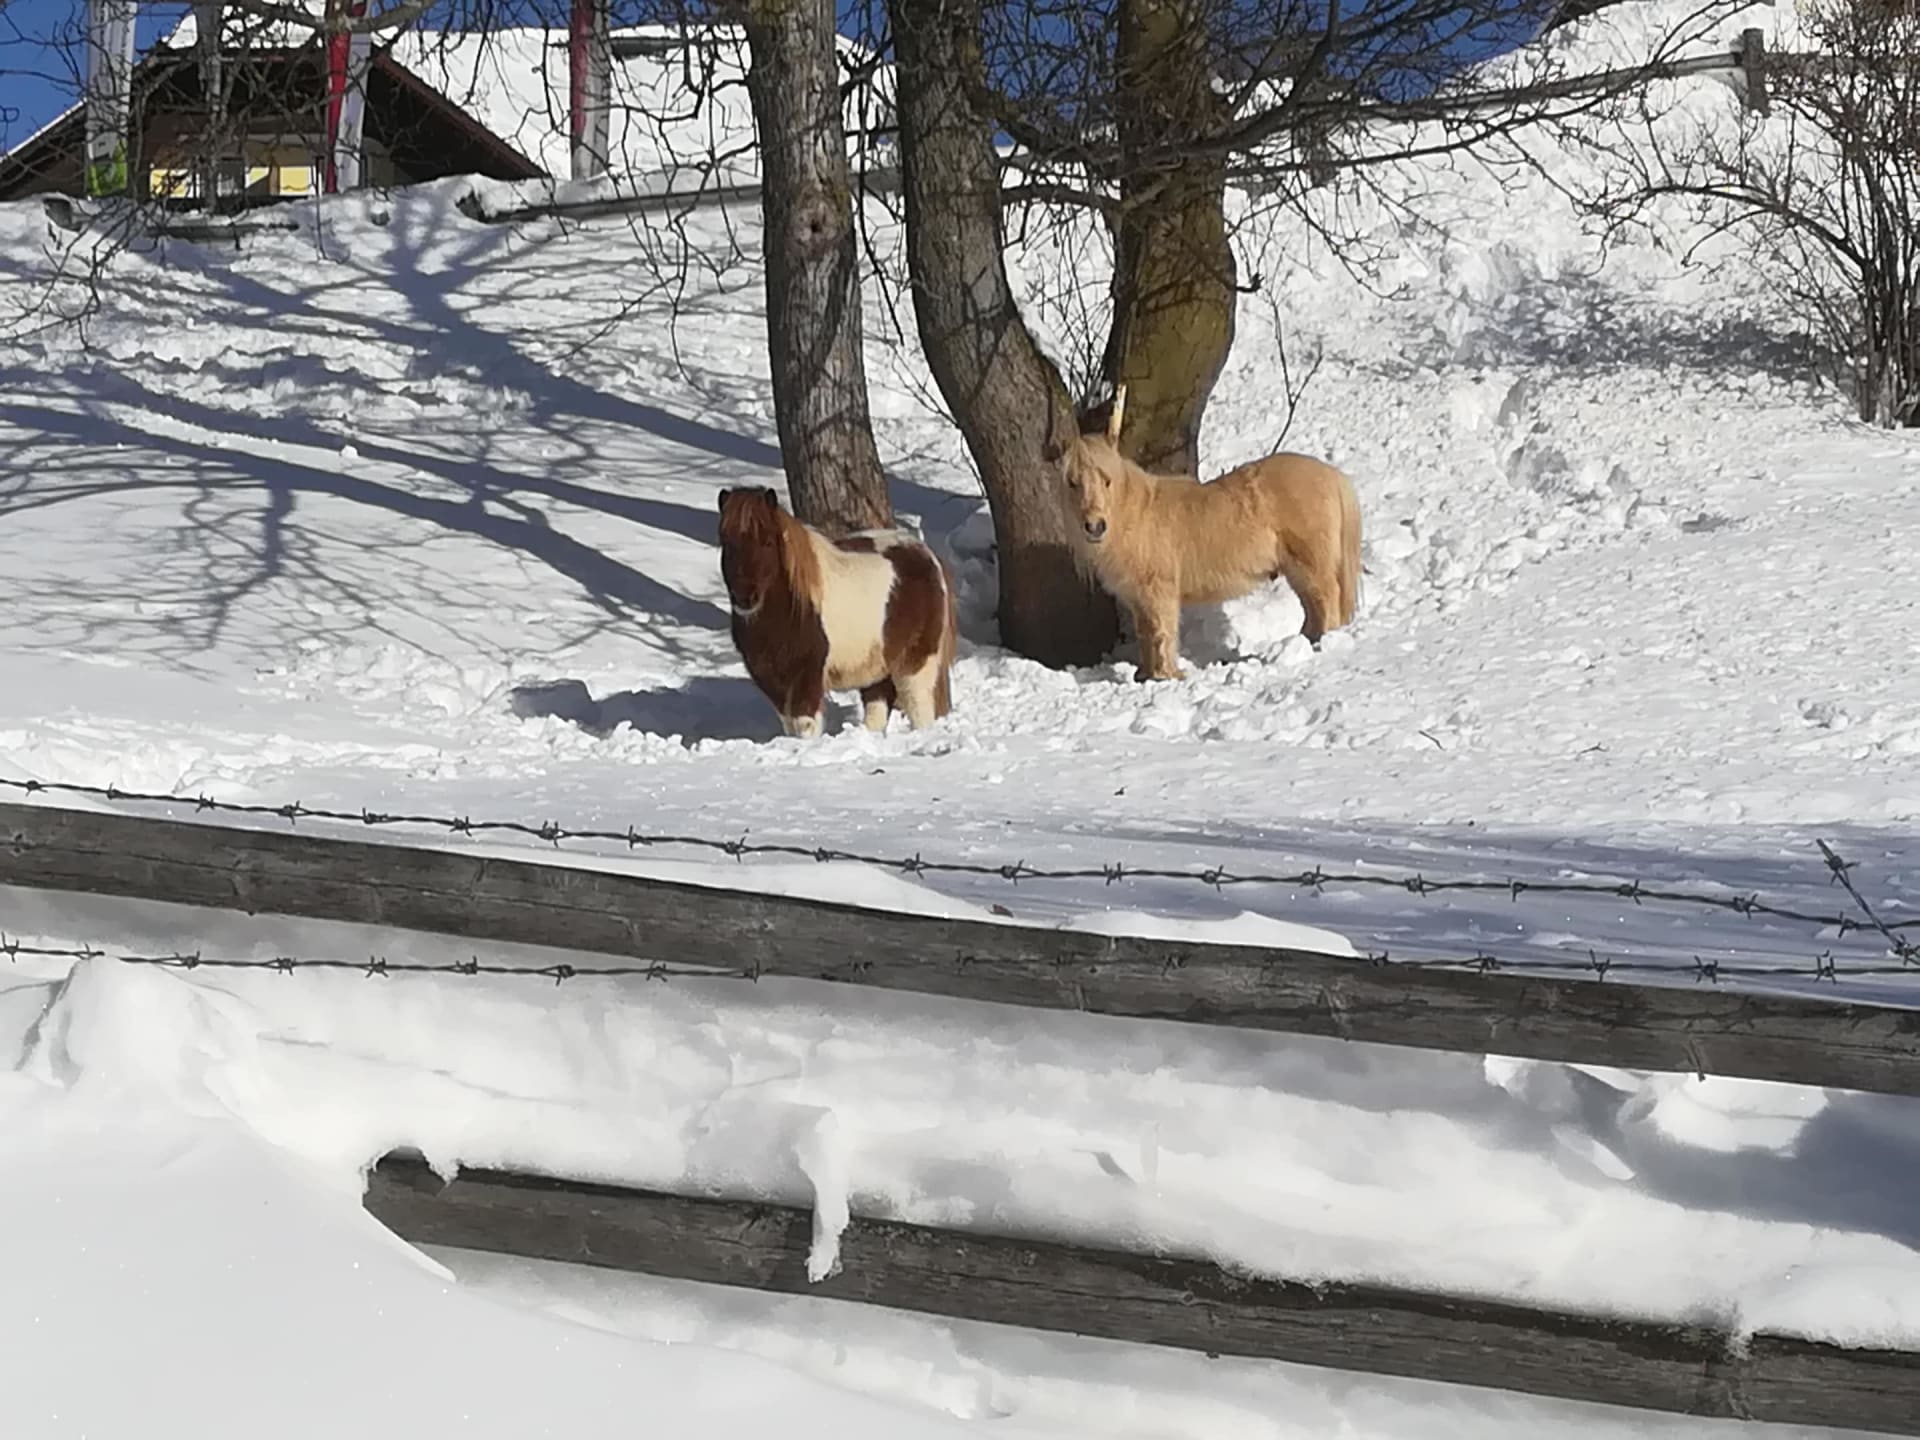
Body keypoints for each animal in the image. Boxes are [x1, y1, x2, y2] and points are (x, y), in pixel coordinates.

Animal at [716, 486, 958, 736]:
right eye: (726, 542)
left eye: (767, 542)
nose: (745, 598)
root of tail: (926, 555)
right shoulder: (773, 682)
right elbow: (789, 725)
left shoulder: (807, 677)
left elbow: (805, 725)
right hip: (876, 668)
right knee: (877, 708)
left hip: (916, 664)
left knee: (919, 708)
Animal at [1062, 386, 1362, 681]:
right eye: (1072, 482)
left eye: (1107, 481)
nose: (1095, 526)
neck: (1135, 516)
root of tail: (1332, 475)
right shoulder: (1139, 598)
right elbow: (1146, 634)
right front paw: (1145, 675)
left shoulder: (1158, 591)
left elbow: (1161, 632)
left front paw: (1167, 675)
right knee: (1312, 606)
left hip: (1311, 563)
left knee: (1326, 600)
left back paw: (1322, 644)